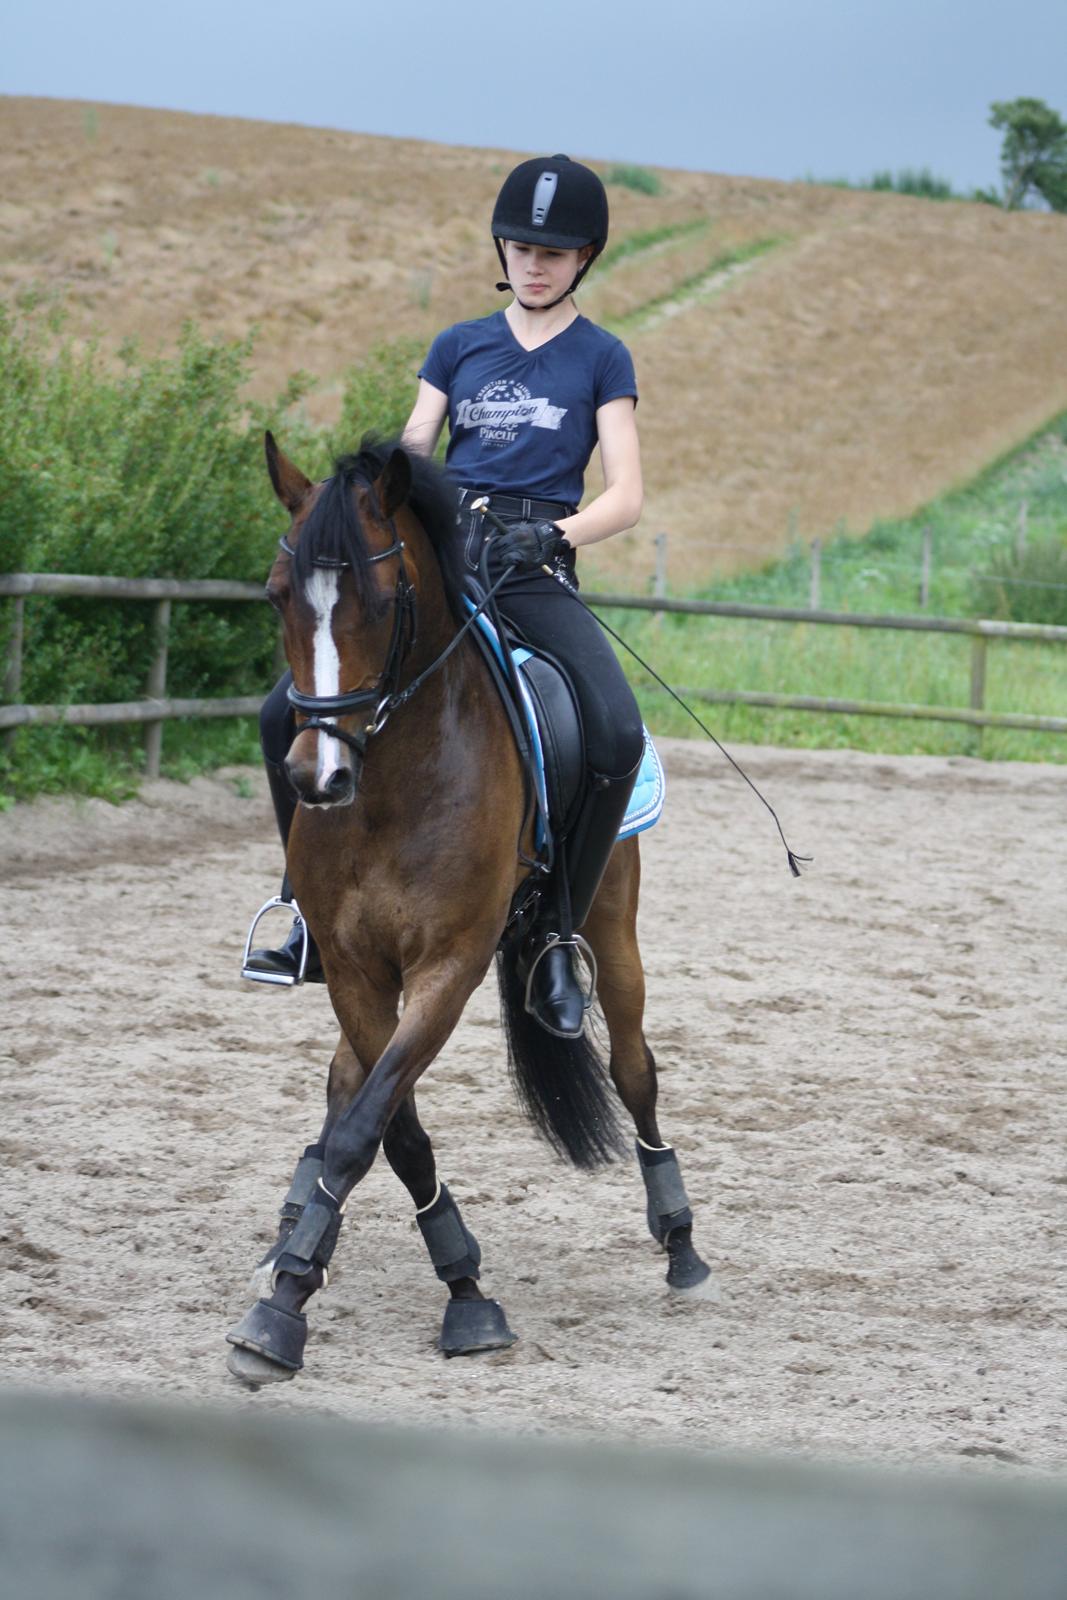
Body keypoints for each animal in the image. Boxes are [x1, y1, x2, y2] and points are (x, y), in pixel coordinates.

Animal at [225, 434, 717, 1384]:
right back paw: (293, 1225)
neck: (391, 784)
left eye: (384, 601)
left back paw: (679, 1239)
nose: (318, 777)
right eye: (274, 596)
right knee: (345, 1083)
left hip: (611, 923)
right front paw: (301, 1279)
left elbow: (369, 1127)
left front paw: (450, 1299)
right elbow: (386, 1126)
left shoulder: (446, 967)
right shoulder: (357, 969)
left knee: (634, 1069)